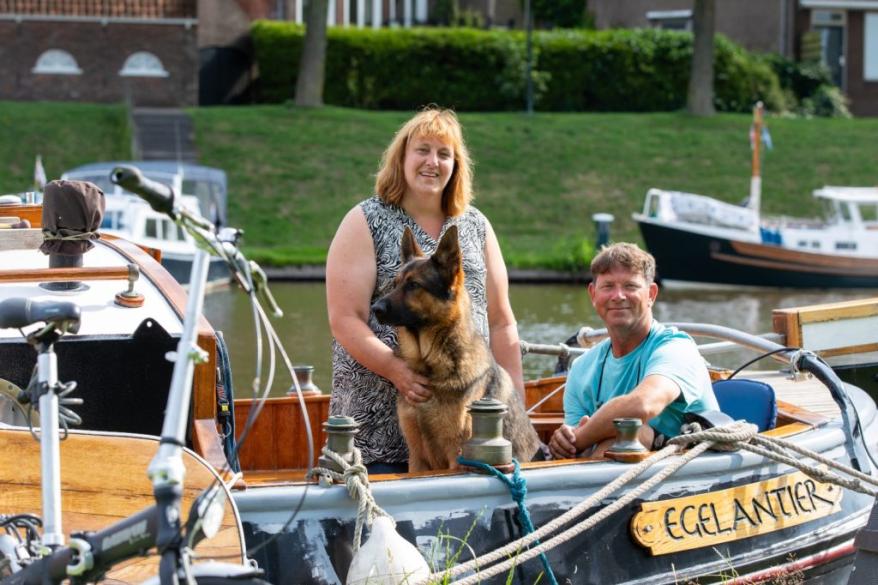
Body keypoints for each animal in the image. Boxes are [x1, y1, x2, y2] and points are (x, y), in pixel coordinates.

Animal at [370, 224, 540, 470]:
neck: (430, 364)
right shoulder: (417, 458)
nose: (375, 309)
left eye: (413, 285)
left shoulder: (456, 457)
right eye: (395, 284)